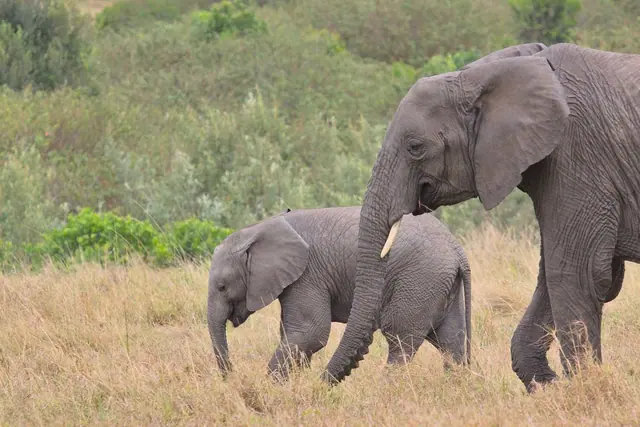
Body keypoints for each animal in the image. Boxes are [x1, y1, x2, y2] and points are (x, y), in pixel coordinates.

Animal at [207, 206, 471, 380]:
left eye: (222, 287)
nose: (232, 377)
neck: (258, 229)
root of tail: (457, 250)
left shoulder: (308, 275)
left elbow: (311, 333)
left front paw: (272, 387)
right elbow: (296, 335)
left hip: (419, 279)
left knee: (399, 339)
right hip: (441, 285)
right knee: (450, 341)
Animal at [322, 42, 640, 393]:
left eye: (415, 147)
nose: (321, 382)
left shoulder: (577, 155)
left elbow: (577, 272)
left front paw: (581, 390)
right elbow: (559, 275)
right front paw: (549, 386)